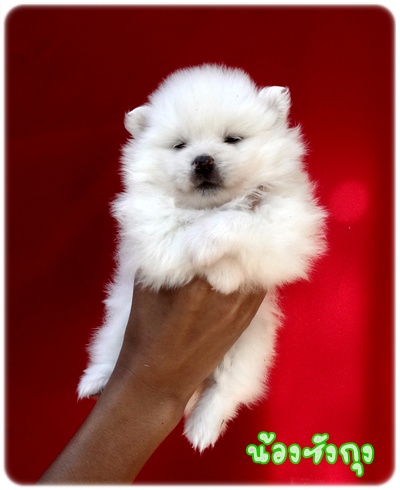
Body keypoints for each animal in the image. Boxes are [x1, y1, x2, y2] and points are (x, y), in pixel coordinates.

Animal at [78, 64, 326, 451]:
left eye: (232, 139)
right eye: (180, 145)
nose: (203, 160)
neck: (211, 206)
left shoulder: (285, 230)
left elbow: (240, 224)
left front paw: (217, 259)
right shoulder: (147, 227)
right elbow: (175, 232)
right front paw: (203, 248)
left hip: (246, 355)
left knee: (225, 391)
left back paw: (202, 428)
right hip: (116, 330)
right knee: (109, 356)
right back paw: (96, 381)